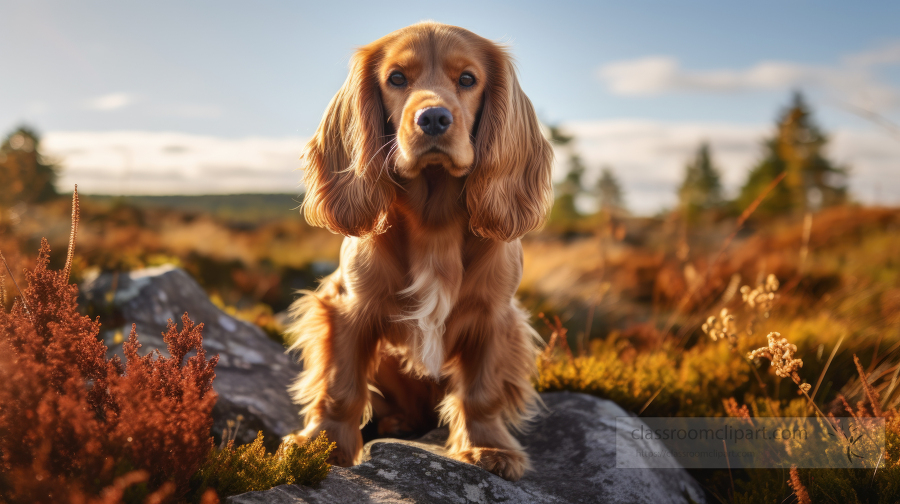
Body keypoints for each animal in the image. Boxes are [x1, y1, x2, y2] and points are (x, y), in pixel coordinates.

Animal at [288, 22, 552, 480]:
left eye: (468, 79)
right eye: (396, 78)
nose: (433, 117)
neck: (434, 219)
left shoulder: (496, 317)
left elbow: (482, 392)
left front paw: (489, 447)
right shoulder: (347, 307)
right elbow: (341, 386)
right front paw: (321, 445)